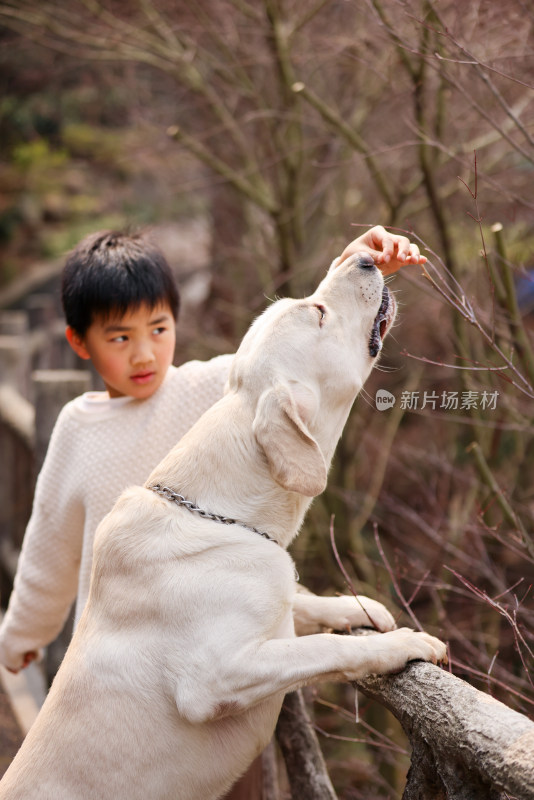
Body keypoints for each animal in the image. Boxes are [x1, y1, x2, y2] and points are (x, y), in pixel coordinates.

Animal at [0, 255, 448, 800]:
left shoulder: (273, 601)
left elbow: (300, 601)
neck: (219, 513)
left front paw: (357, 607)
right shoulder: (215, 677)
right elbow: (324, 647)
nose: (362, 257)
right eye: (318, 312)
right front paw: (400, 644)